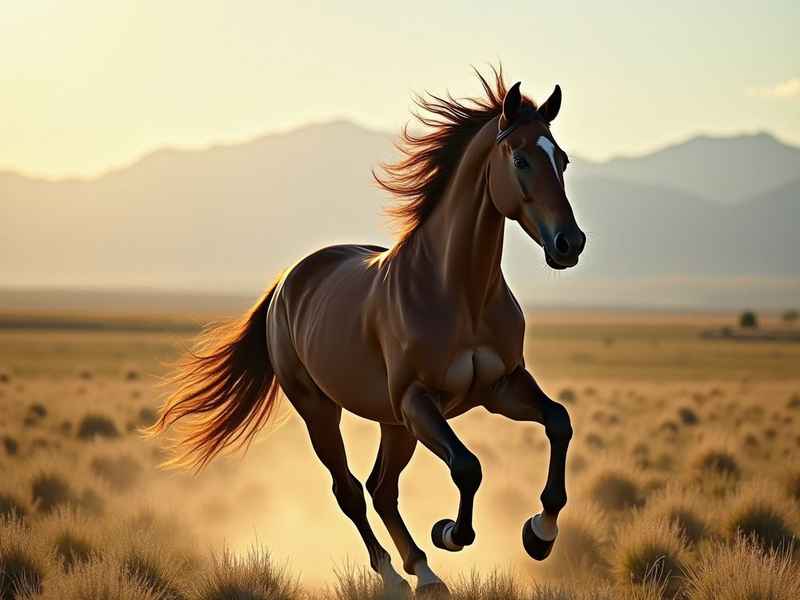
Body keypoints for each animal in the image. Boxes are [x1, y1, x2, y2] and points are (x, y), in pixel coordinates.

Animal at [149, 67, 585, 596]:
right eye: (520, 158)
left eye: (561, 159)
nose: (569, 244)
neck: (457, 291)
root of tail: (288, 281)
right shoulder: (419, 400)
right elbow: (468, 467)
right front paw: (451, 532)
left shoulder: (501, 387)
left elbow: (559, 421)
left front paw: (539, 534)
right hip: (323, 410)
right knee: (352, 491)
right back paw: (397, 574)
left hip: (392, 423)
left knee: (382, 489)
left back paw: (424, 572)